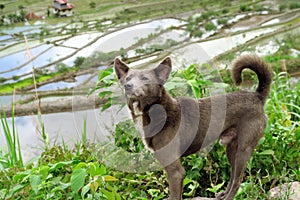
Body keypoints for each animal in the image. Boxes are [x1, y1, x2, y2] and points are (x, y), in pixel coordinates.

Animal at [113, 54, 272, 199]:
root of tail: (257, 97)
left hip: (243, 149)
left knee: (238, 180)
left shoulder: (175, 172)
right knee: (233, 176)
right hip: (231, 148)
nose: (128, 86)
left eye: (145, 79)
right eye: (127, 79)